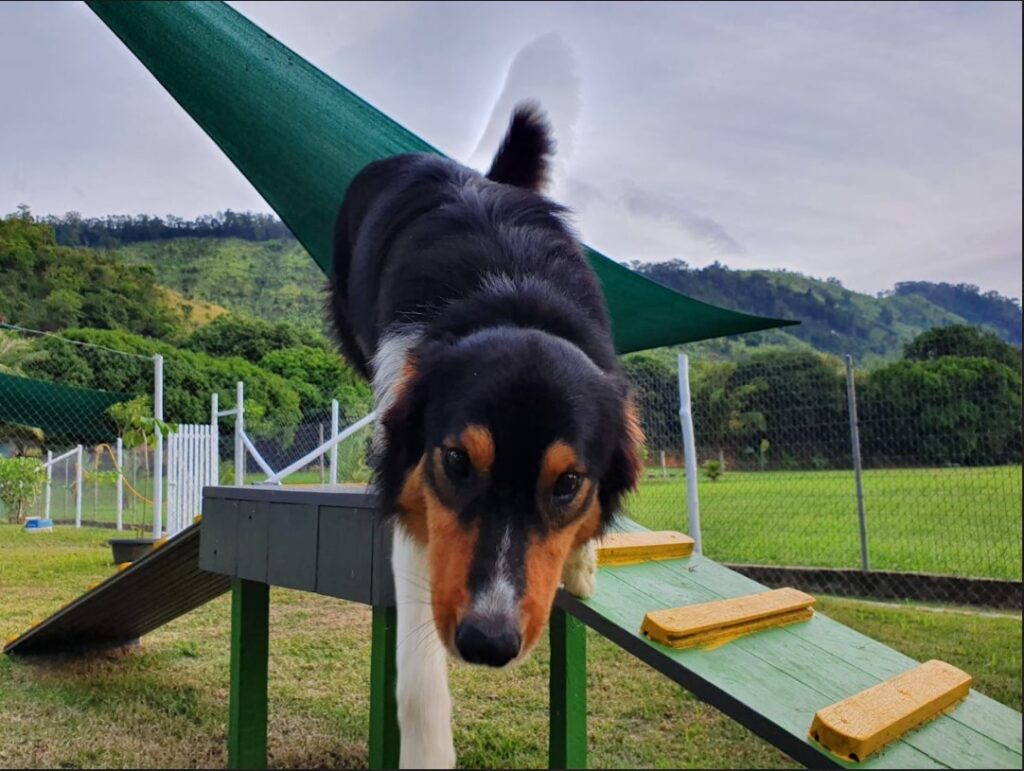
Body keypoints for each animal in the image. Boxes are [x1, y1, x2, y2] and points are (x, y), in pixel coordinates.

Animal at [331, 105, 643, 765]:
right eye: (457, 461)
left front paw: (582, 564)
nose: (488, 643)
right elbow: (418, 677)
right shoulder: (419, 499)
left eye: (568, 483)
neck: (514, 299)